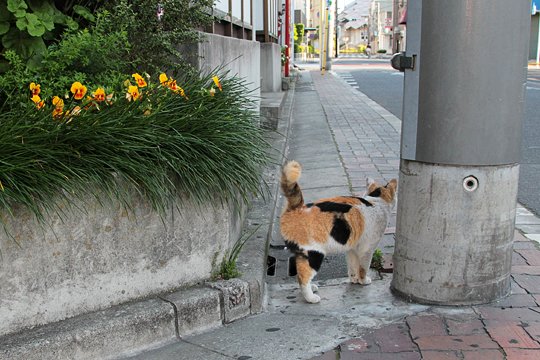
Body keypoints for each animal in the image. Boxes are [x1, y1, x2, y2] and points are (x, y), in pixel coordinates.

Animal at [278, 161, 396, 304]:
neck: (375, 202)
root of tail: (296, 209)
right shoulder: (367, 250)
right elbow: (363, 268)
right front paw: (363, 281)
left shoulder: (352, 249)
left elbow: (352, 267)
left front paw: (354, 279)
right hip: (314, 254)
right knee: (303, 277)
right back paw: (311, 298)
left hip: (303, 254)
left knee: (300, 273)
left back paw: (312, 288)